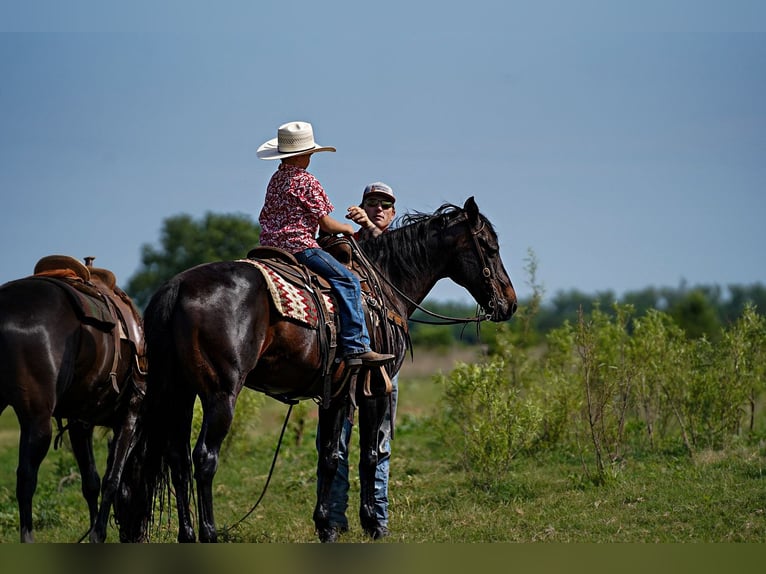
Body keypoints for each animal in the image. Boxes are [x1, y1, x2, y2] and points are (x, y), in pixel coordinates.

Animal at [0, 258, 146, 544]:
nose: (135, 534)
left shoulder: (81, 422)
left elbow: (91, 480)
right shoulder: (131, 415)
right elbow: (112, 479)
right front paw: (98, 533)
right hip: (37, 420)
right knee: (26, 478)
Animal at [117, 198, 520, 544]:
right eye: (489, 246)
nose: (510, 303)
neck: (385, 282)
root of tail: (177, 286)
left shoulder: (336, 393)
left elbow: (329, 458)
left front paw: (326, 526)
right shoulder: (376, 387)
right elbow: (368, 454)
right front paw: (372, 524)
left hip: (178, 392)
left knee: (177, 460)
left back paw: (187, 534)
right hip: (220, 394)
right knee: (204, 459)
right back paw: (209, 533)